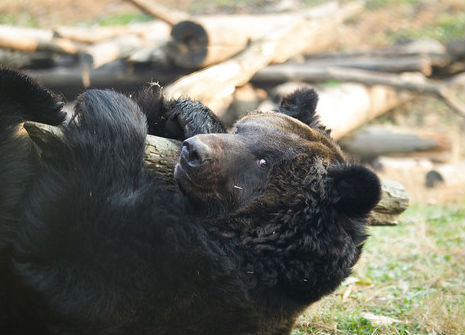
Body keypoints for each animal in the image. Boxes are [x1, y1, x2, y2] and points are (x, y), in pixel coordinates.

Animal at [0, 68, 380, 334]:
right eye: (241, 129)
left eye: (263, 162)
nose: (195, 152)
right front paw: (187, 114)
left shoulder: (184, 276)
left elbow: (68, 245)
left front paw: (106, 113)